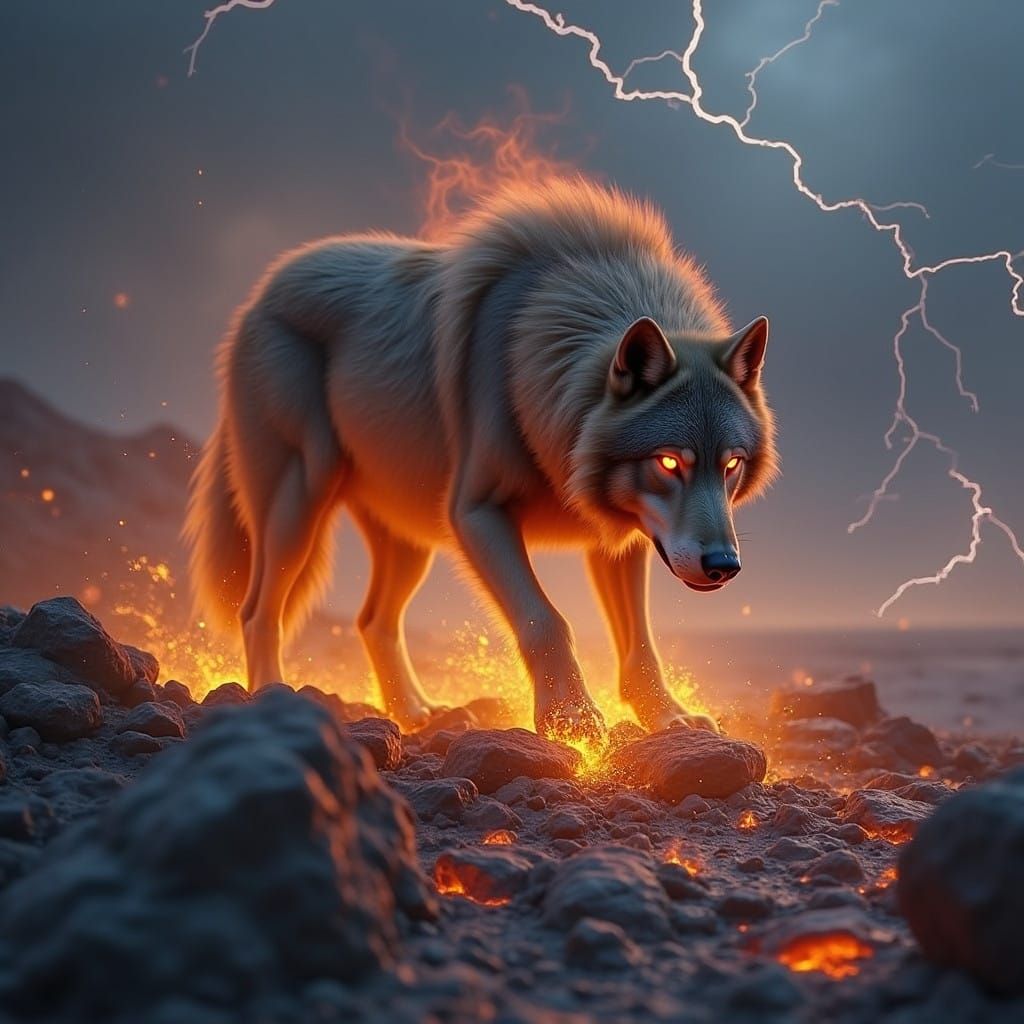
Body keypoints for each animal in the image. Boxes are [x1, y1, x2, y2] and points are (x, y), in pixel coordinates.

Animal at [185, 177, 777, 740]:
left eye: (730, 466)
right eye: (671, 463)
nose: (724, 565)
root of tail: (263, 290)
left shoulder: (621, 537)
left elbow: (640, 645)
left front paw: (668, 717)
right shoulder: (475, 514)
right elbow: (545, 621)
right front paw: (571, 721)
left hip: (410, 538)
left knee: (373, 620)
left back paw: (415, 713)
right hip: (301, 498)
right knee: (258, 611)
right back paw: (273, 696)